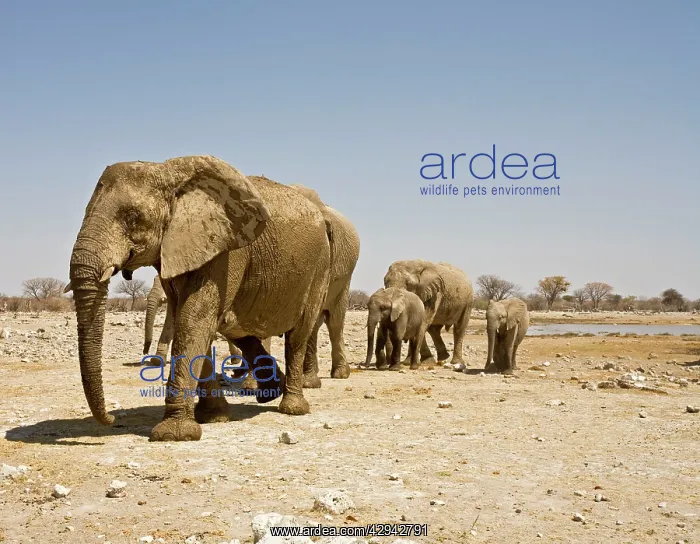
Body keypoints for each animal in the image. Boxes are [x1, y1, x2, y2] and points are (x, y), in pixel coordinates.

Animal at [66, 155, 331, 442]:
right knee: (237, 328)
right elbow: (193, 320)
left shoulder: (225, 252)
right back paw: (268, 392)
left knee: (298, 334)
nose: (112, 419)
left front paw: (173, 435)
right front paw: (213, 418)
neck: (168, 174)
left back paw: (292, 407)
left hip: (318, 268)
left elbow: (193, 319)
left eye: (132, 217)